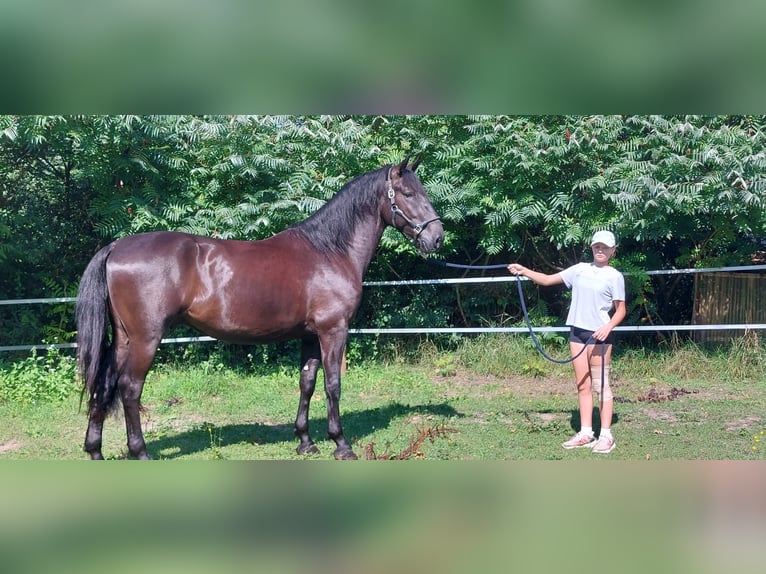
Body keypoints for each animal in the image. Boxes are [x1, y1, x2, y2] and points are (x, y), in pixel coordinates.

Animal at [75, 157, 444, 460]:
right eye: (408, 193)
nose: (437, 238)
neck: (329, 251)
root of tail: (116, 247)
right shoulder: (333, 330)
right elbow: (333, 385)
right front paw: (341, 444)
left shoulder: (310, 336)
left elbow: (307, 383)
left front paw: (305, 442)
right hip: (145, 339)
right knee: (130, 388)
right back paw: (140, 453)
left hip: (123, 339)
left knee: (104, 385)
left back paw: (95, 451)